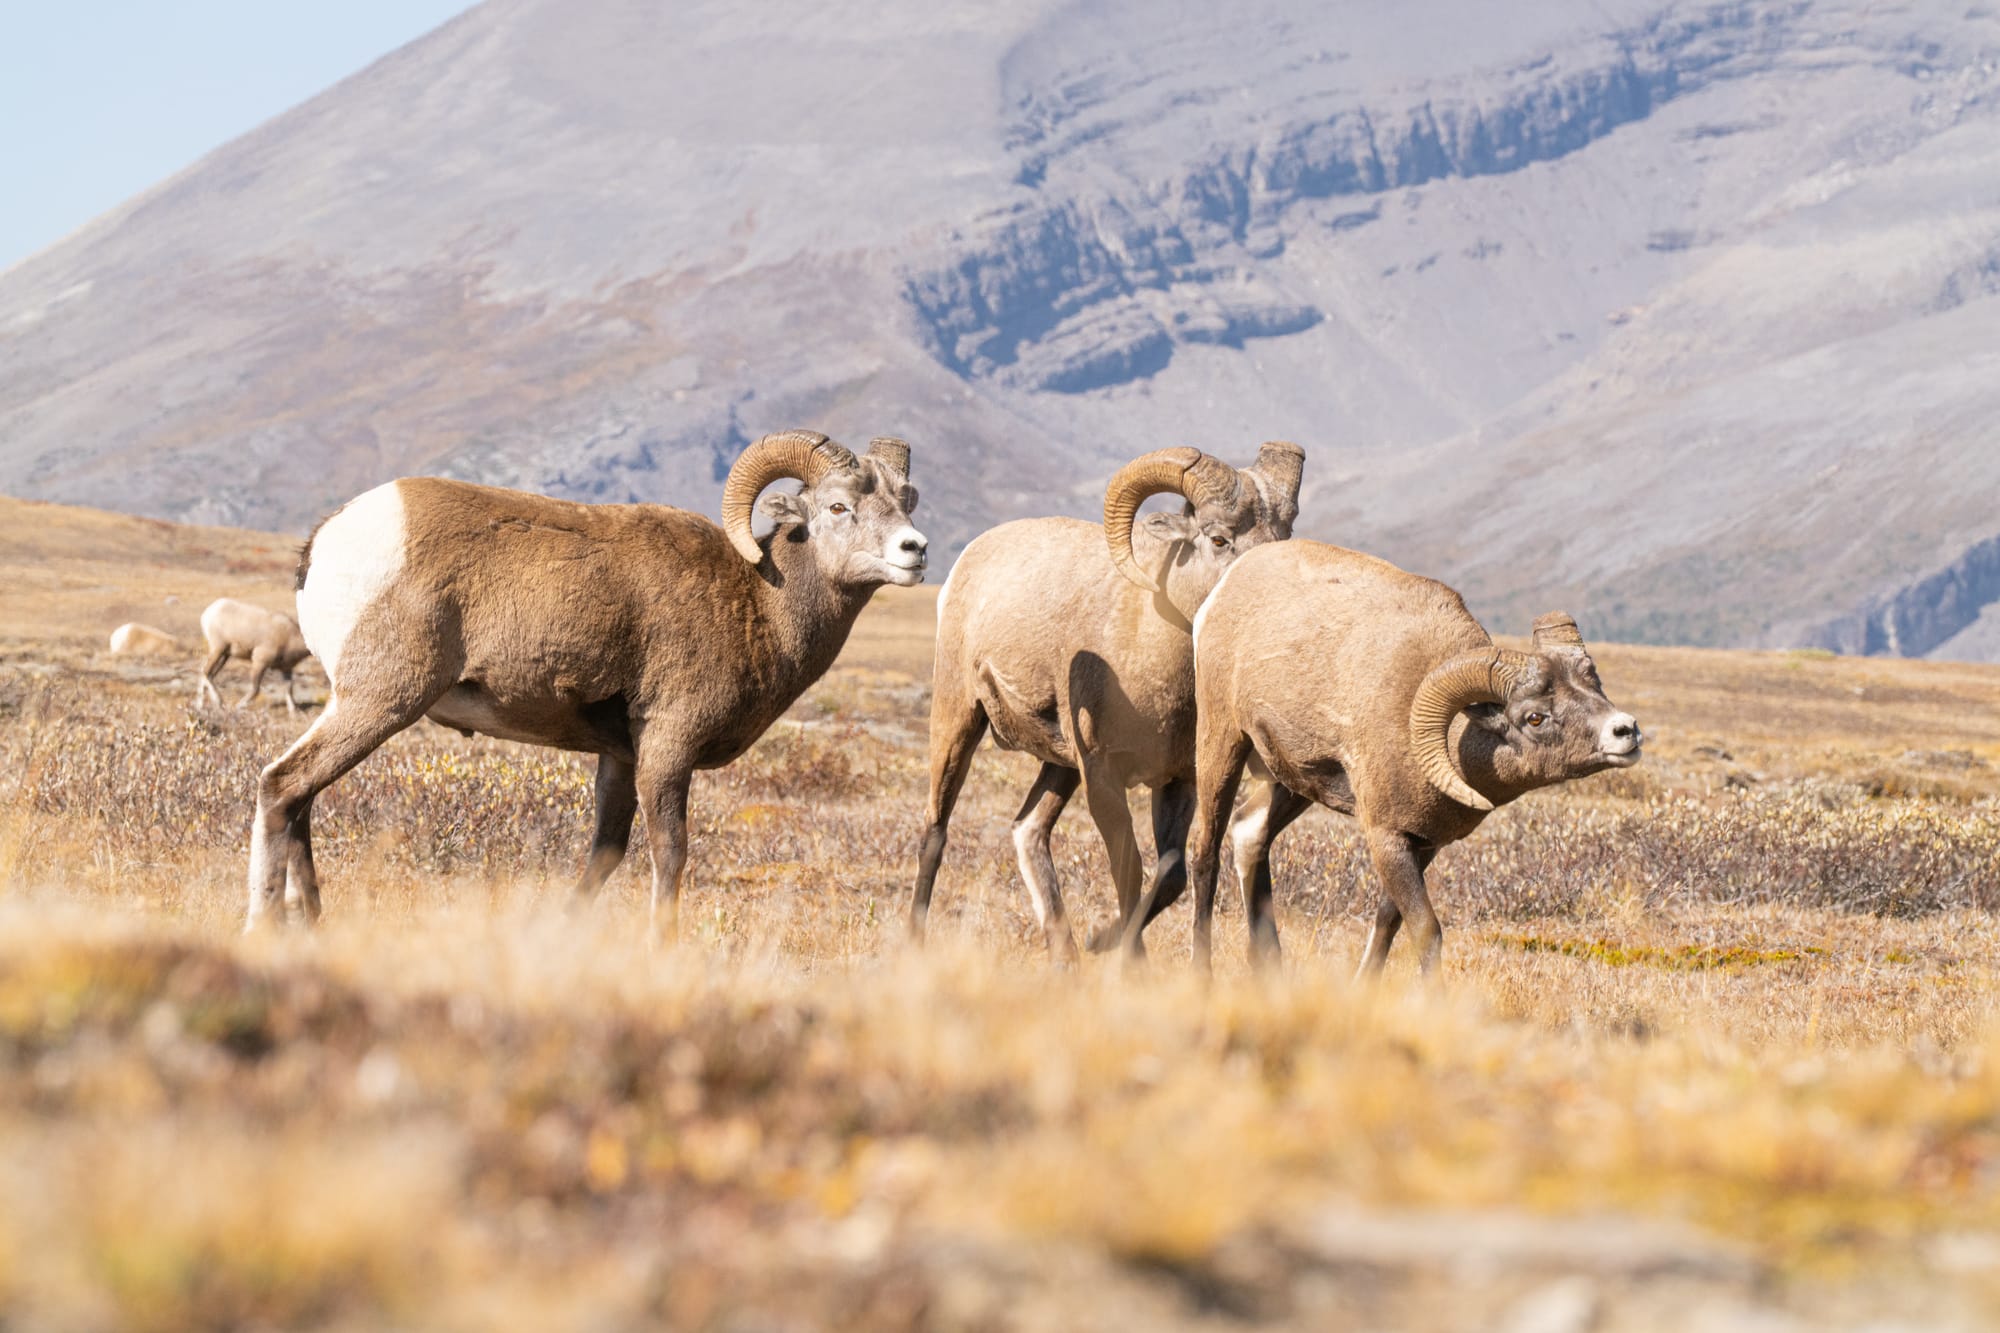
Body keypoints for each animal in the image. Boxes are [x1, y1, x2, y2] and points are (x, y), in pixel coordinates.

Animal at [244, 431, 926, 933]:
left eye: (904, 502)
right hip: (380, 702)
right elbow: (670, 853)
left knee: (301, 797)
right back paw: (265, 925)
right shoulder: (667, 751)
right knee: (282, 785)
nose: (914, 549)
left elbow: (605, 855)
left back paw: (313, 923)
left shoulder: (619, 758)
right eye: (838, 507)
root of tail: (325, 542)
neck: (760, 602)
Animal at [909, 441, 1305, 961]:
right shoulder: (1103, 777)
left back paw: (1068, 959)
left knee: (1028, 830)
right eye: (1219, 539)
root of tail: (968, 560)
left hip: (1059, 766)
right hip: (959, 724)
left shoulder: (1177, 783)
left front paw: (1102, 941)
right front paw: (1129, 962)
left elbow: (1169, 878)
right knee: (935, 831)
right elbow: (1129, 873)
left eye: (1285, 535)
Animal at [1122, 539, 1642, 975]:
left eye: (1593, 686)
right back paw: (1202, 973)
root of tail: (1223, 590)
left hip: (1291, 782)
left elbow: (1388, 925)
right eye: (1534, 717)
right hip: (1223, 745)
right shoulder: (1386, 838)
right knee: (1203, 855)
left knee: (1250, 835)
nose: (1626, 732)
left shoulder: (1424, 844)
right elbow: (1426, 931)